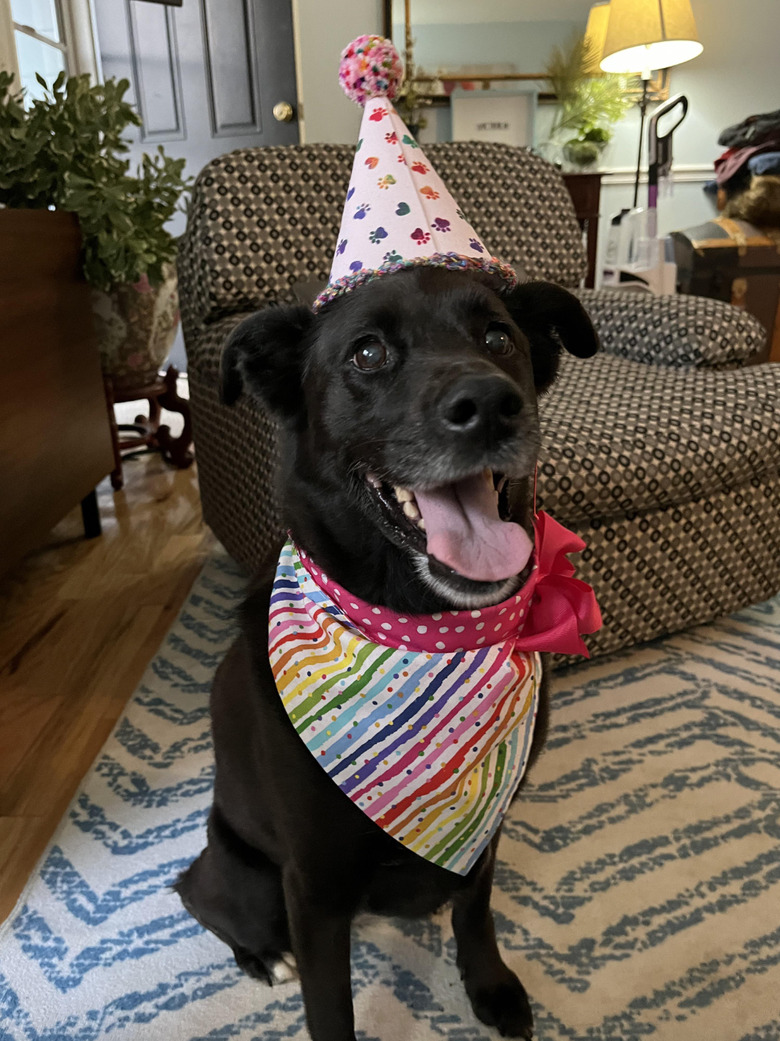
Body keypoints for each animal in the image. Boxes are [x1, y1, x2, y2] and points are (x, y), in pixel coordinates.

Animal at [173, 268, 591, 1041]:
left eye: (499, 337)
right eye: (368, 354)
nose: (490, 405)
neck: (423, 631)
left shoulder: (487, 828)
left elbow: (475, 910)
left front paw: (489, 985)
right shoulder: (313, 882)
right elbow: (329, 1004)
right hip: (250, 877)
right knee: (196, 892)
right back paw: (261, 954)